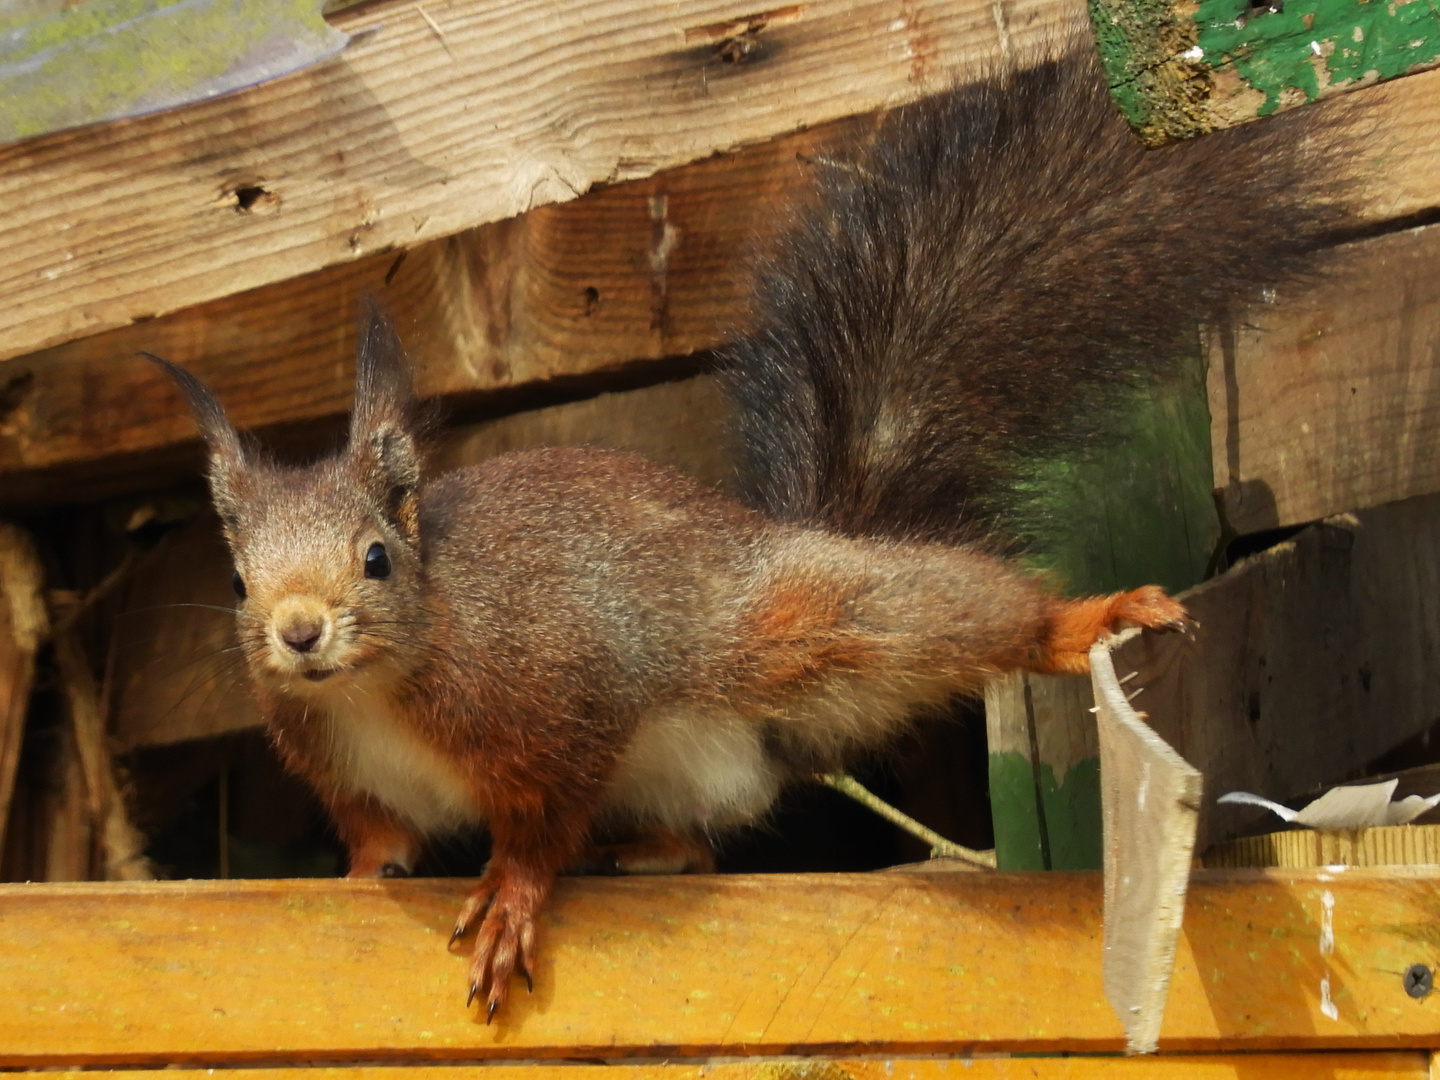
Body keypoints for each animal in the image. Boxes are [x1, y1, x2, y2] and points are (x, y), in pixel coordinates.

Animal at [151, 46, 1353, 1019]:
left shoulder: (555, 698)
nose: (300, 633)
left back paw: (1082, 622)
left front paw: (511, 898)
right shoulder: (349, 772)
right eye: (241, 580)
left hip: (797, 626)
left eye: (377, 558)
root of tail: (794, 535)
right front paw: (348, 881)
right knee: (697, 840)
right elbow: (379, 839)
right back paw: (647, 850)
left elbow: (545, 819)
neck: (382, 685)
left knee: (945, 613)